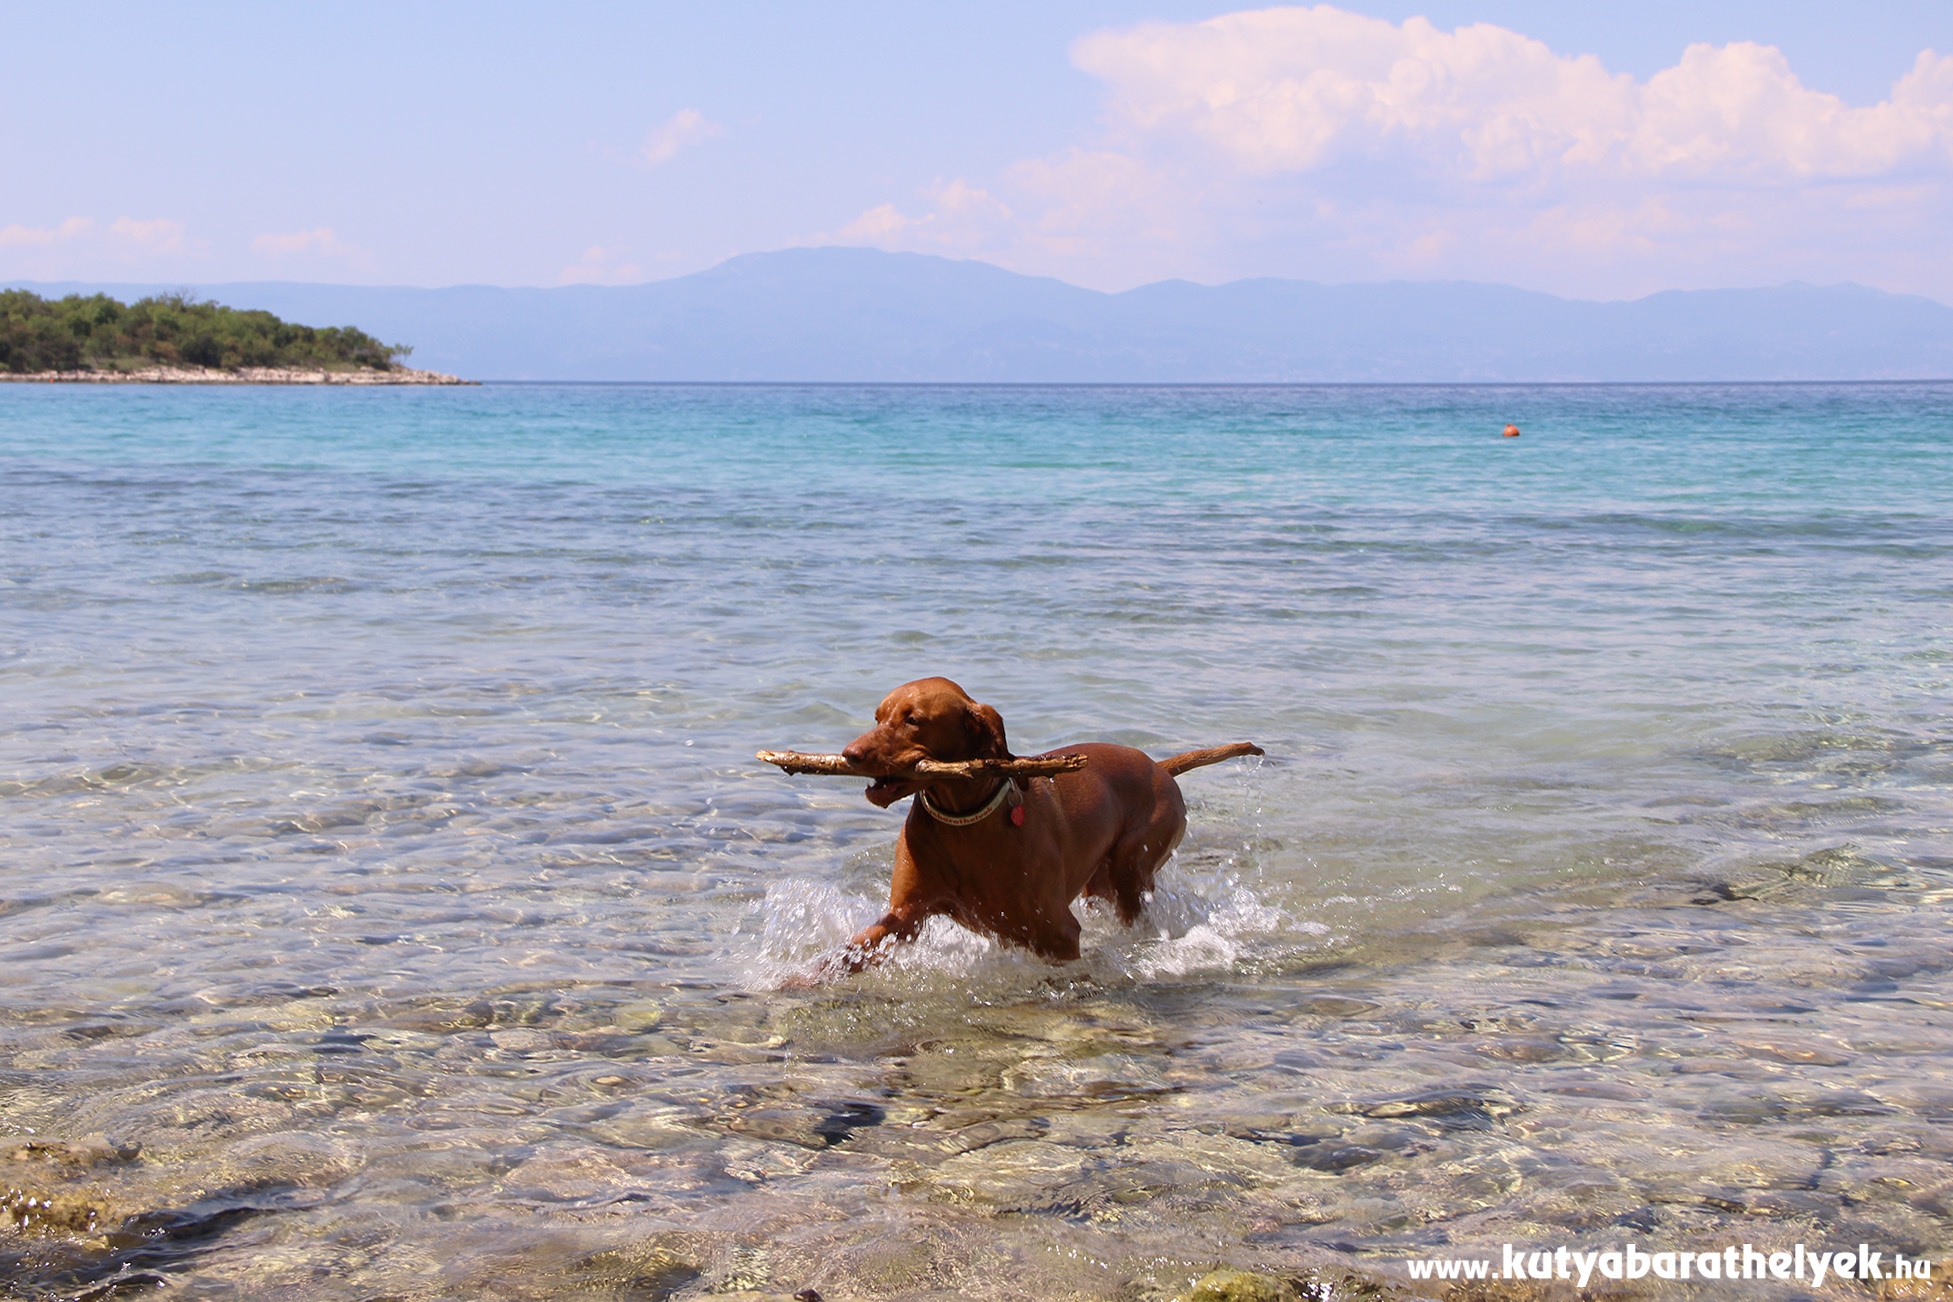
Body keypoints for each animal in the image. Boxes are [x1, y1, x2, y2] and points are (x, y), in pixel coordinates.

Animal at [820, 683, 1249, 968]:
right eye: (878, 717)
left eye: (913, 720)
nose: (850, 754)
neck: (963, 824)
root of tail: (1159, 767)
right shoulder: (904, 916)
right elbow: (845, 955)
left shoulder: (1057, 933)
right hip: (1099, 883)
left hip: (1132, 867)